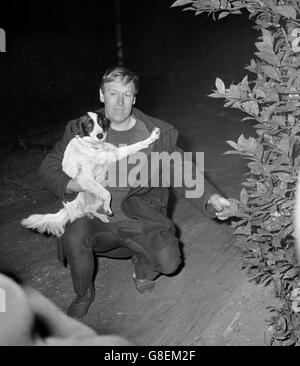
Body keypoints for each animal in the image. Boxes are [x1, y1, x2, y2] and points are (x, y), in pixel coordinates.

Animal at [21, 111, 161, 237]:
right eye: (89, 125)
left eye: (101, 122)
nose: (100, 135)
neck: (93, 147)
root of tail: (66, 211)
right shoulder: (85, 178)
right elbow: (108, 194)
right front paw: (108, 207)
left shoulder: (113, 153)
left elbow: (137, 145)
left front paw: (151, 138)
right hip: (81, 197)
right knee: (81, 213)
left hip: (95, 198)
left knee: (89, 209)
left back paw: (99, 216)